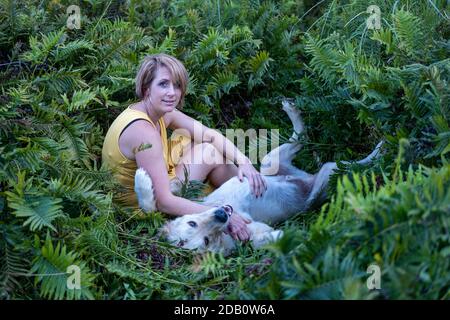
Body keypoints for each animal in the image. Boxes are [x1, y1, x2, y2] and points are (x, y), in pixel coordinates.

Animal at [134, 99, 384, 255]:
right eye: (205, 240)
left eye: (192, 222)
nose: (221, 215)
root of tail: (307, 178)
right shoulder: (255, 234)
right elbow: (274, 239)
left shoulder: (188, 194)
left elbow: (160, 198)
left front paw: (142, 180)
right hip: (327, 178)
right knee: (346, 166)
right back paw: (381, 150)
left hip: (269, 164)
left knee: (301, 138)